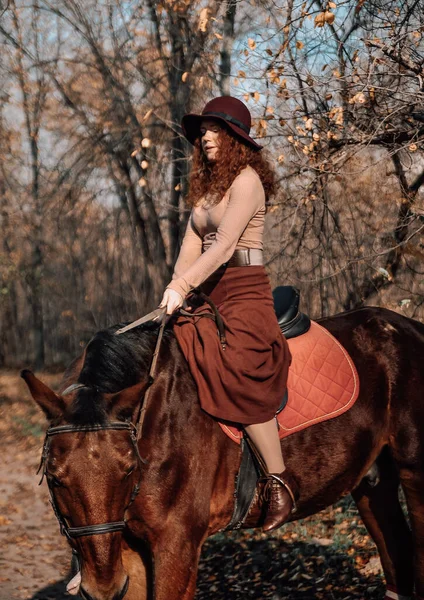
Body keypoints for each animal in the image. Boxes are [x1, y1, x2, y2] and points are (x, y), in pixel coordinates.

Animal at [22, 304, 424, 600]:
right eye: (55, 479)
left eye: (127, 469)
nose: (101, 588)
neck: (155, 416)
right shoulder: (129, 549)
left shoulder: (177, 545)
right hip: (372, 483)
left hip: (414, 473)